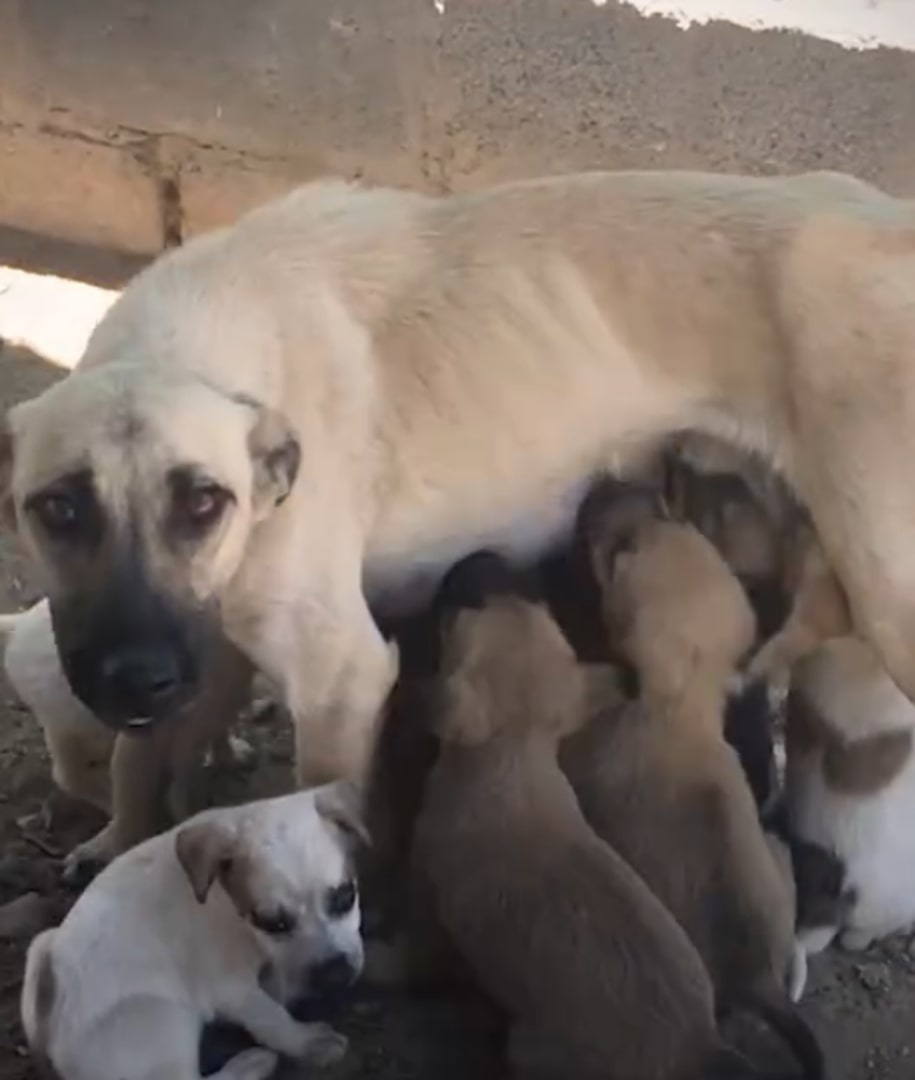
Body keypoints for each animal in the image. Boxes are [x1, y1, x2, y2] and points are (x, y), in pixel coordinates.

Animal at [1, 170, 915, 876]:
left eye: (202, 502)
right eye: (57, 508)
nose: (133, 677)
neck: (188, 346)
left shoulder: (339, 679)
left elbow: (306, 796)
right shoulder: (206, 642)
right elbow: (141, 755)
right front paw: (120, 839)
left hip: (891, 595)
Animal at [20, 786, 365, 1080]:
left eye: (346, 897)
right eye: (272, 922)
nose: (335, 974)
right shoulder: (231, 988)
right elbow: (271, 1016)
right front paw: (308, 1042)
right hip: (165, 1017)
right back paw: (250, 1064)